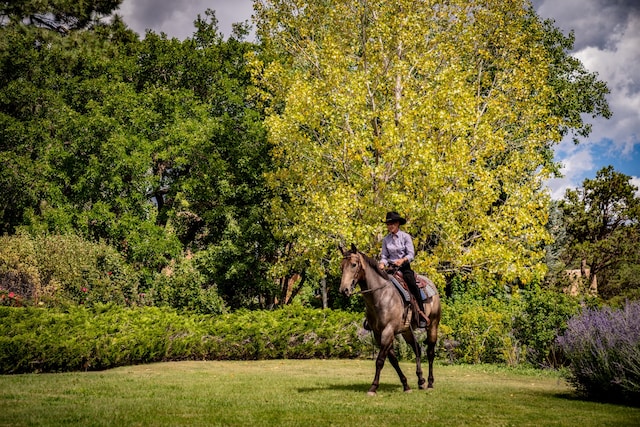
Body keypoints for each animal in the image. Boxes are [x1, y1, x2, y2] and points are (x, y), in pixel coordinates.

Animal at [340, 242, 440, 396]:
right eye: (341, 266)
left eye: (354, 264)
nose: (344, 290)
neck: (381, 296)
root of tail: (431, 284)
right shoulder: (379, 333)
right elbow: (393, 360)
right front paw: (406, 385)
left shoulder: (388, 331)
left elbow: (380, 360)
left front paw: (373, 387)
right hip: (407, 331)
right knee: (417, 348)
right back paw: (421, 380)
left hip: (433, 325)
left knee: (430, 352)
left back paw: (429, 382)